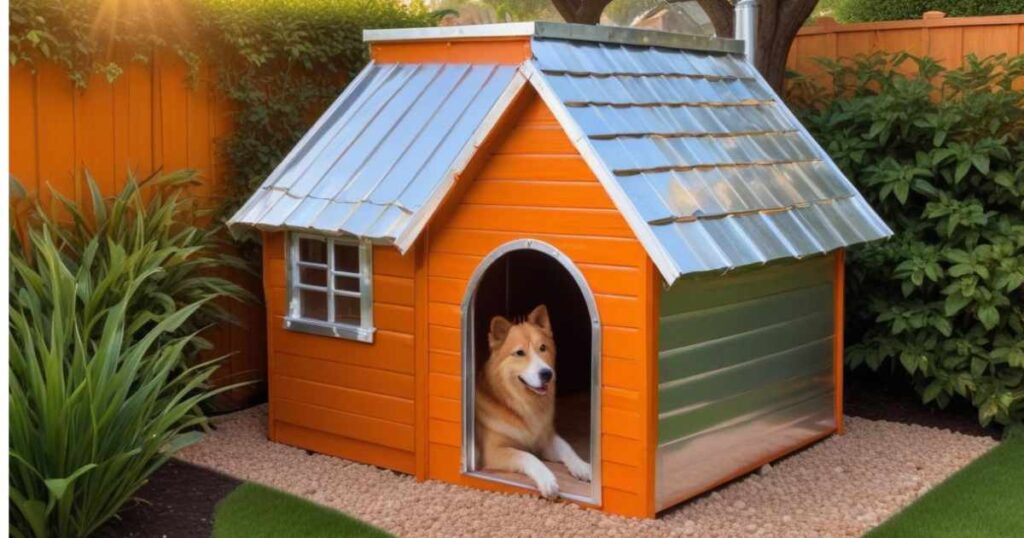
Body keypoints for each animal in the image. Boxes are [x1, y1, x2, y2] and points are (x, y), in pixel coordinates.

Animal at [473, 303, 593, 498]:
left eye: (542, 348)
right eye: (520, 353)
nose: (547, 374)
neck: (522, 405)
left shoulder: (546, 439)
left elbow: (567, 449)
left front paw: (583, 467)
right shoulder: (493, 451)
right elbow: (528, 456)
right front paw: (547, 480)